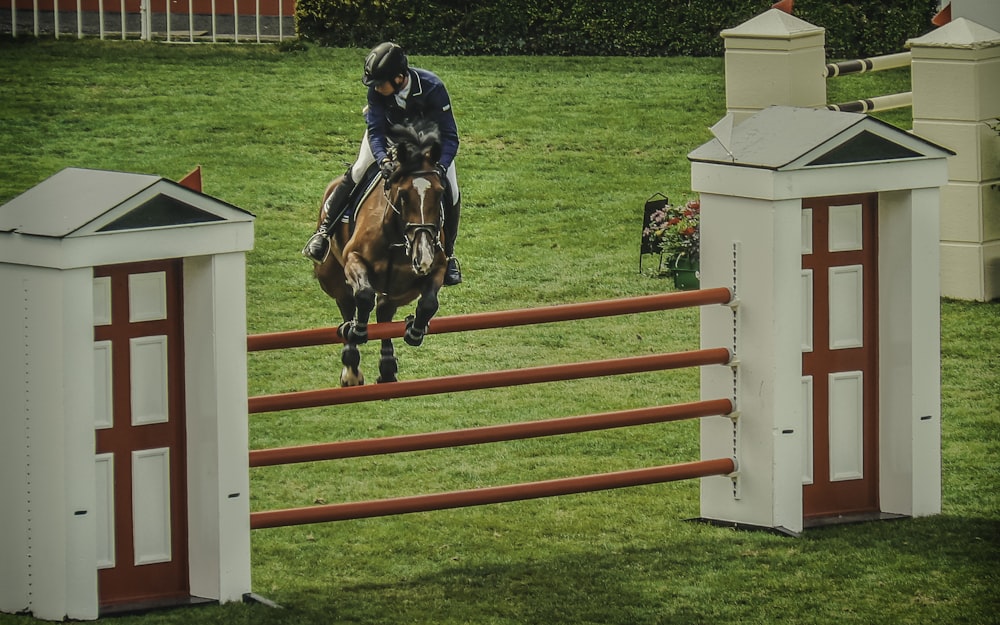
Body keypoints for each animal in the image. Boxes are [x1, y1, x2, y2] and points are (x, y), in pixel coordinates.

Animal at [314, 121, 448, 386]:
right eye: (403, 195)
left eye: (440, 193)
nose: (423, 256)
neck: (397, 237)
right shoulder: (353, 259)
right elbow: (364, 295)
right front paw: (358, 330)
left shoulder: (435, 269)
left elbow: (429, 302)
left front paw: (415, 331)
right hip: (330, 276)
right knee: (347, 303)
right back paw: (351, 365)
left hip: (396, 291)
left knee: (385, 311)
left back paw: (387, 368)